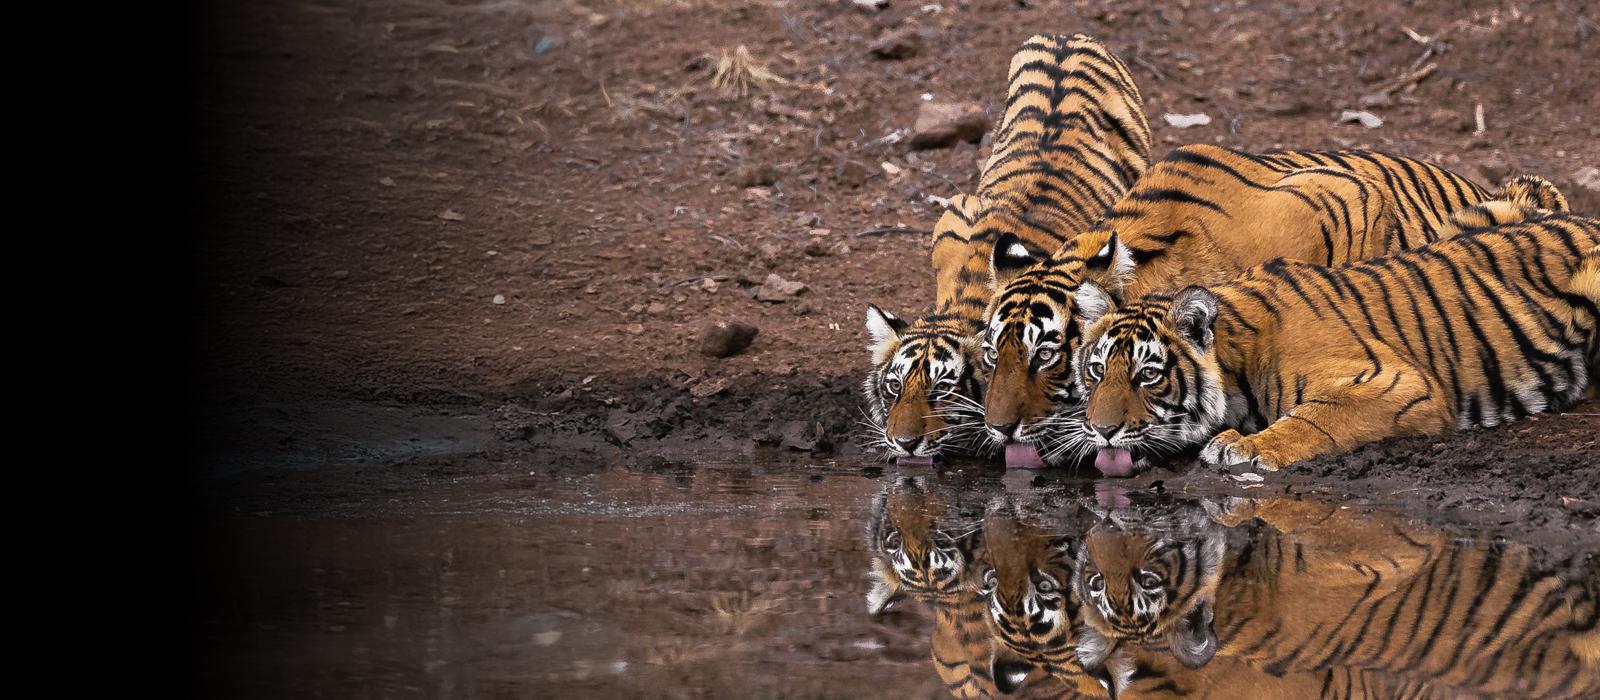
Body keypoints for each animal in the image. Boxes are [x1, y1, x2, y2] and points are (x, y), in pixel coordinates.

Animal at [863, 33, 1151, 461]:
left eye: (943, 390)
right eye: (894, 386)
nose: (904, 443)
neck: (963, 301)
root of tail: (1066, 36)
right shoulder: (955, 214)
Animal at [1065, 210, 1600, 473]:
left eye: (1148, 375)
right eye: (1097, 370)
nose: (1101, 432)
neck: (1237, 361)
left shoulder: (1397, 383)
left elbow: (1314, 417)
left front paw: (1247, 448)